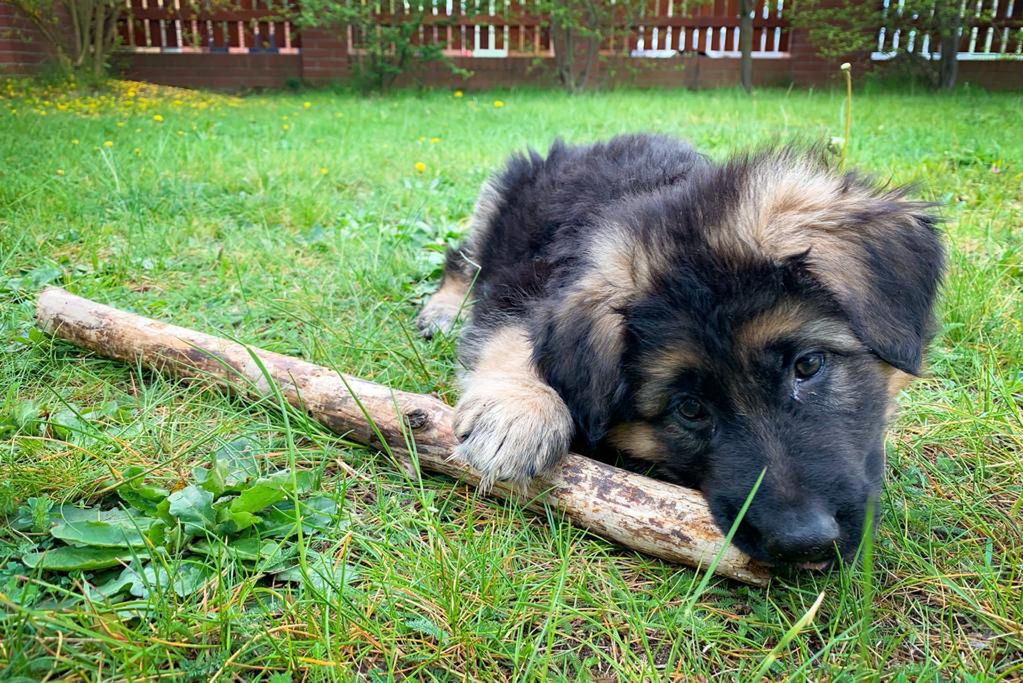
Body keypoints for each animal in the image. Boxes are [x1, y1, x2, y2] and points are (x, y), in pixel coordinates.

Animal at [415, 135, 941, 568]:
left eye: (808, 365)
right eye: (689, 408)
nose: (804, 544)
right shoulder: (521, 283)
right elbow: (511, 328)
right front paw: (518, 410)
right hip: (499, 207)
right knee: (461, 259)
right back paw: (441, 311)